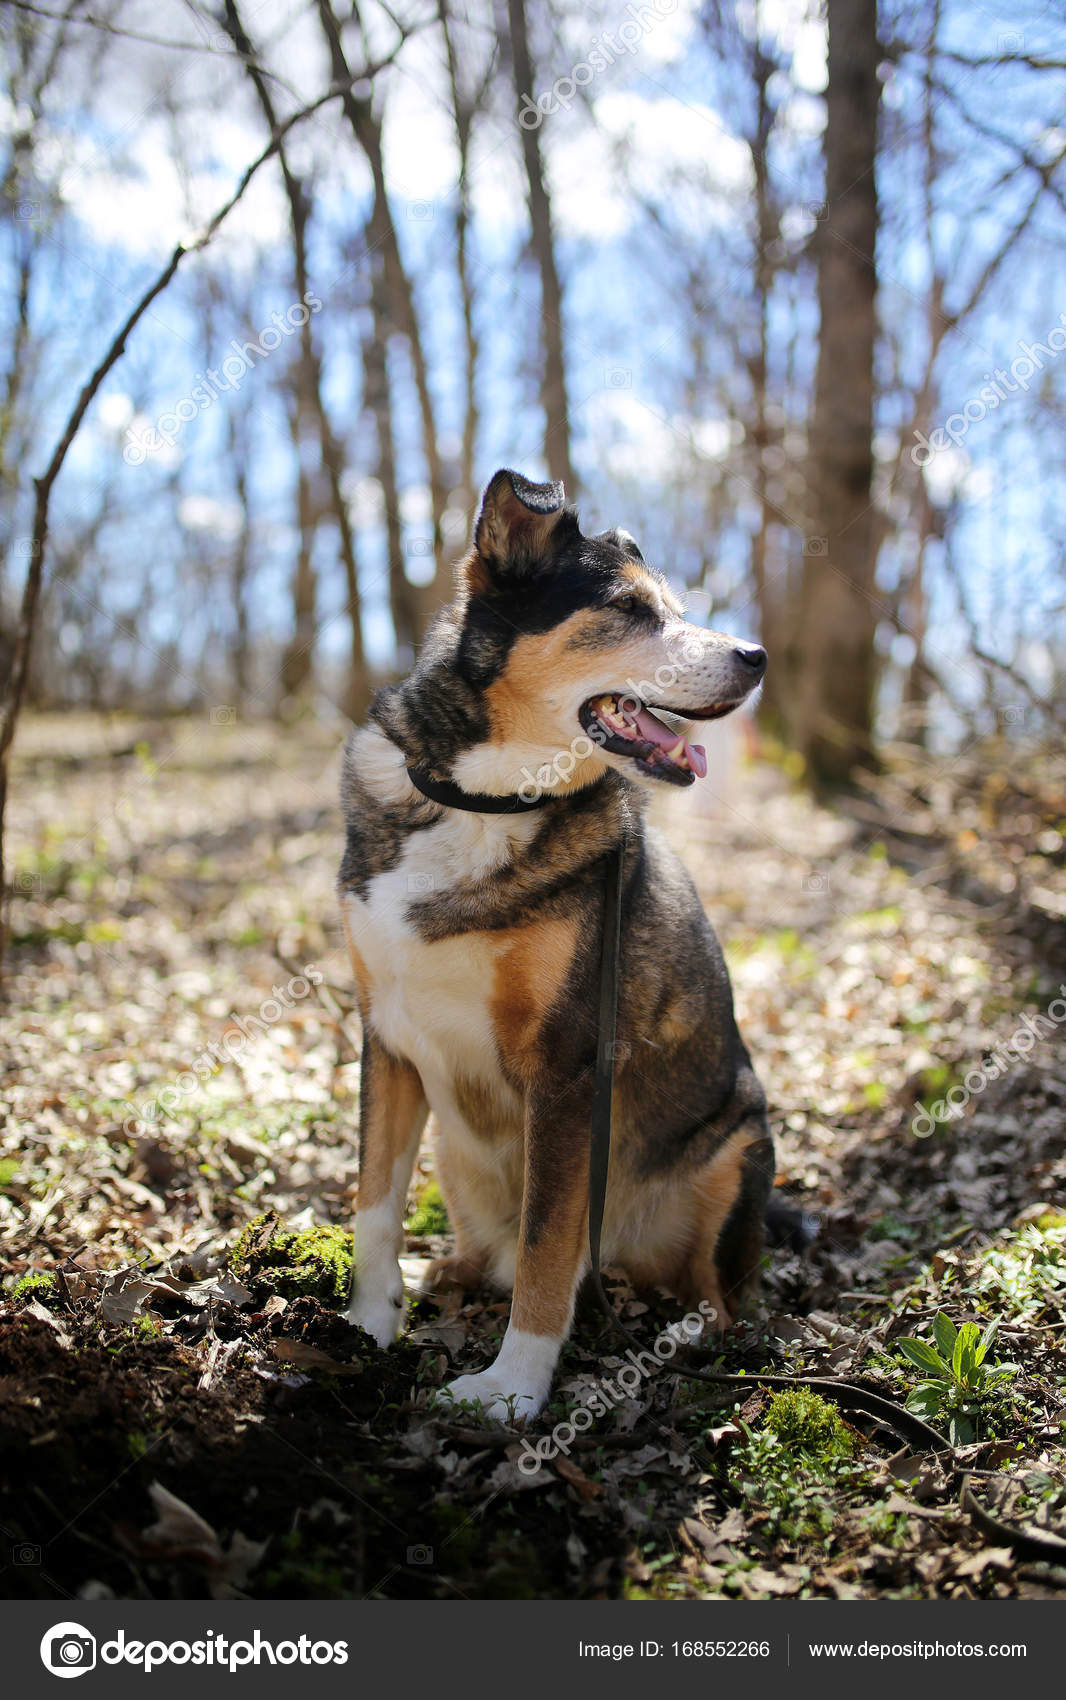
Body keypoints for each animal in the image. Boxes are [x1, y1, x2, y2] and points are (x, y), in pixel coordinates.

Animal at [341, 469, 775, 1421]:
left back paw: (695, 1342)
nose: (757, 654)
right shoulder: (385, 1038)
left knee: (712, 1292)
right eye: (630, 609)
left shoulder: (568, 1065)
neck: (483, 802)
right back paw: (453, 1273)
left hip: (737, 1148)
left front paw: (512, 1389)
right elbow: (373, 1202)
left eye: (677, 609)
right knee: (499, 1249)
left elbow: (549, 1242)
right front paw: (365, 1323)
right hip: (457, 1156)